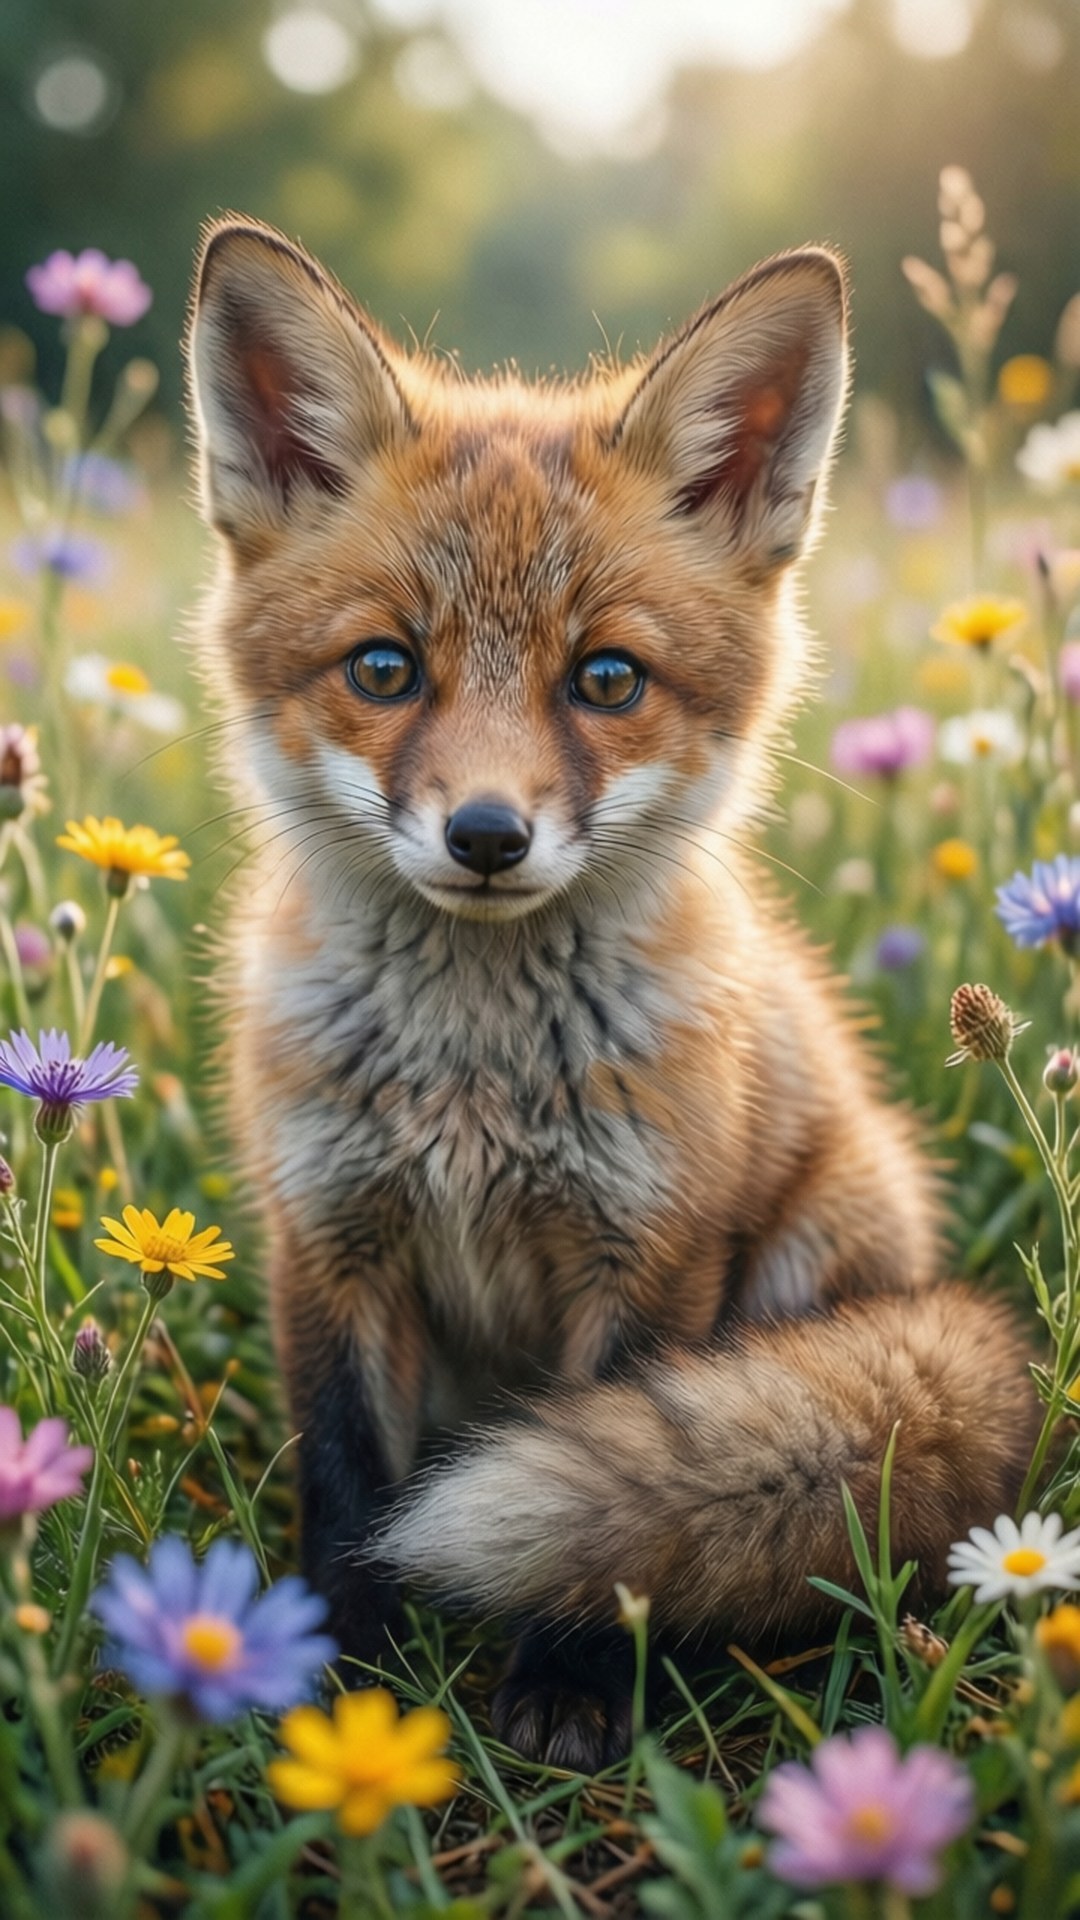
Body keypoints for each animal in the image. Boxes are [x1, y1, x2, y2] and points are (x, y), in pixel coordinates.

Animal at [185, 217, 1039, 1771]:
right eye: (384, 669)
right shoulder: (327, 1240)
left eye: (607, 679)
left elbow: (618, 1517)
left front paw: (572, 1679)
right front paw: (326, 1671)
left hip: (803, 1259)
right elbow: (343, 1483)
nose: (486, 836)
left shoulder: (648, 1255)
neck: (470, 1077)